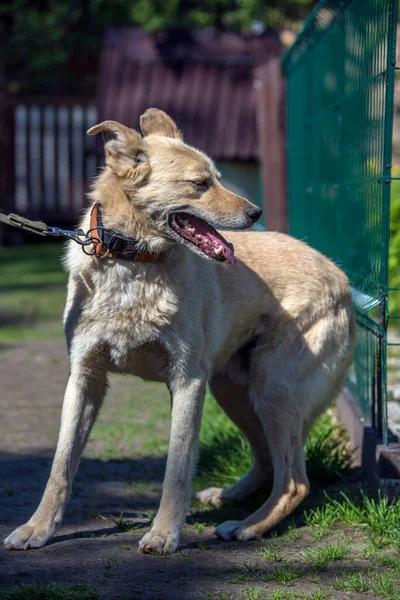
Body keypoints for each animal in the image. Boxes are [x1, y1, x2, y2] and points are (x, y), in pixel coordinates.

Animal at [2, 109, 354, 552]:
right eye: (200, 184)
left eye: (219, 178)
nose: (255, 213)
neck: (134, 262)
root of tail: (342, 280)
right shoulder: (85, 378)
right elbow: (61, 464)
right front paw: (38, 528)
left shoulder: (187, 381)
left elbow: (177, 467)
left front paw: (164, 533)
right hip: (234, 390)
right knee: (269, 461)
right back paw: (228, 498)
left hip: (272, 390)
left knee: (295, 481)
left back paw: (247, 526)